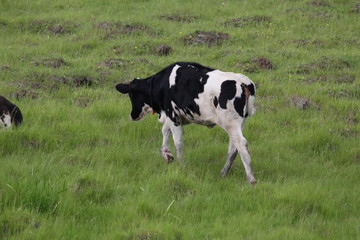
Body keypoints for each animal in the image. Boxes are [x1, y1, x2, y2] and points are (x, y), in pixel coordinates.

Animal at [115, 62, 256, 184]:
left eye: (131, 95)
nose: (132, 115)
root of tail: (244, 82)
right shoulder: (175, 116)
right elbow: (164, 130)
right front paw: (167, 154)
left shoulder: (171, 113)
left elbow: (178, 141)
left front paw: (180, 164)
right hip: (238, 123)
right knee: (233, 148)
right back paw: (223, 173)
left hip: (230, 123)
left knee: (241, 144)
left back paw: (251, 178)